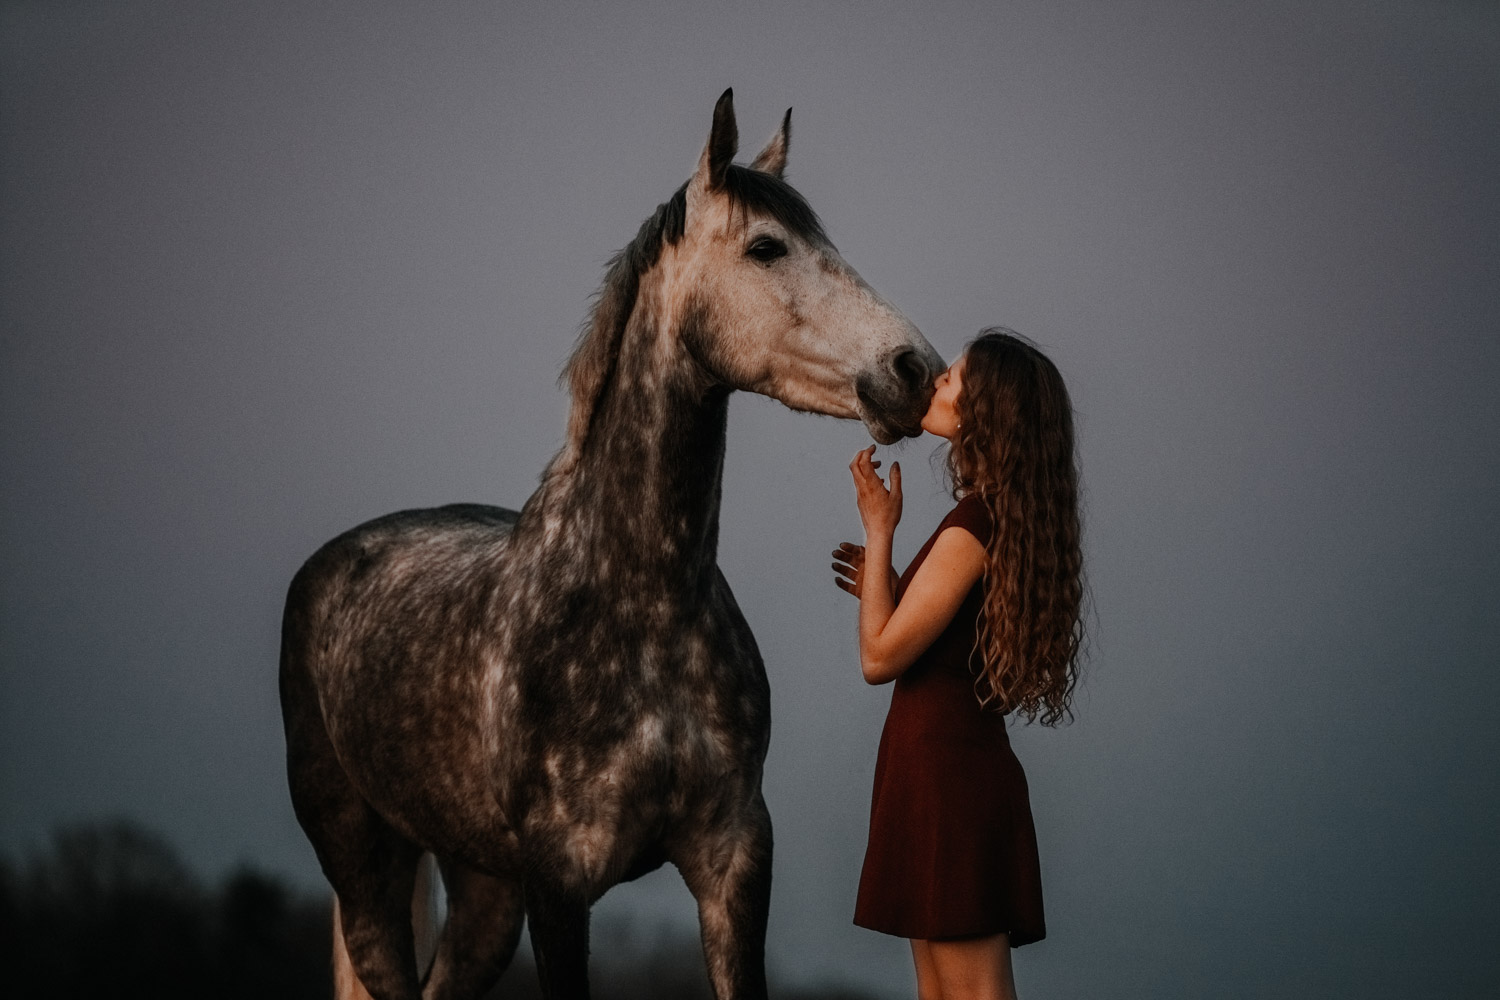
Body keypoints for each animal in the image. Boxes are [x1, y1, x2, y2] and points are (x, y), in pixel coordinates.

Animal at [277, 88, 942, 1000]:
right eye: (766, 247)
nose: (916, 370)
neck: (637, 605)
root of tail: (333, 563)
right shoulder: (560, 886)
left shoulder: (736, 862)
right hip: (363, 864)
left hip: (481, 887)